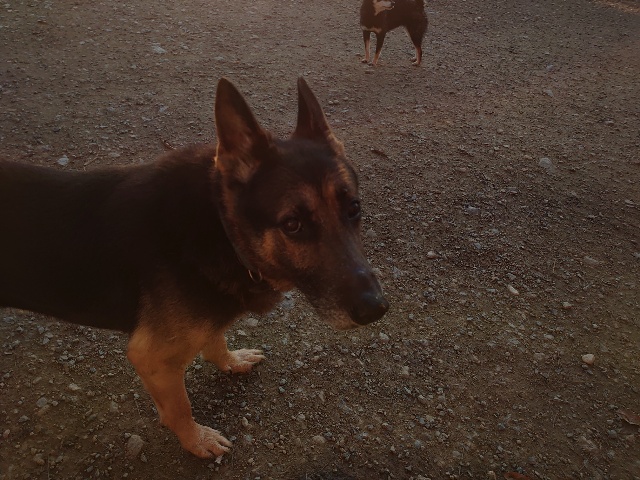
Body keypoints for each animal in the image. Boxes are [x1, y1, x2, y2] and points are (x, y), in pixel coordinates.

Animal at [0, 78, 389, 458]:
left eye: (354, 208)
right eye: (292, 225)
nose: (376, 309)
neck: (220, 227)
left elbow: (215, 339)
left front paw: (230, 360)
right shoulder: (153, 359)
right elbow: (179, 408)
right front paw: (196, 440)